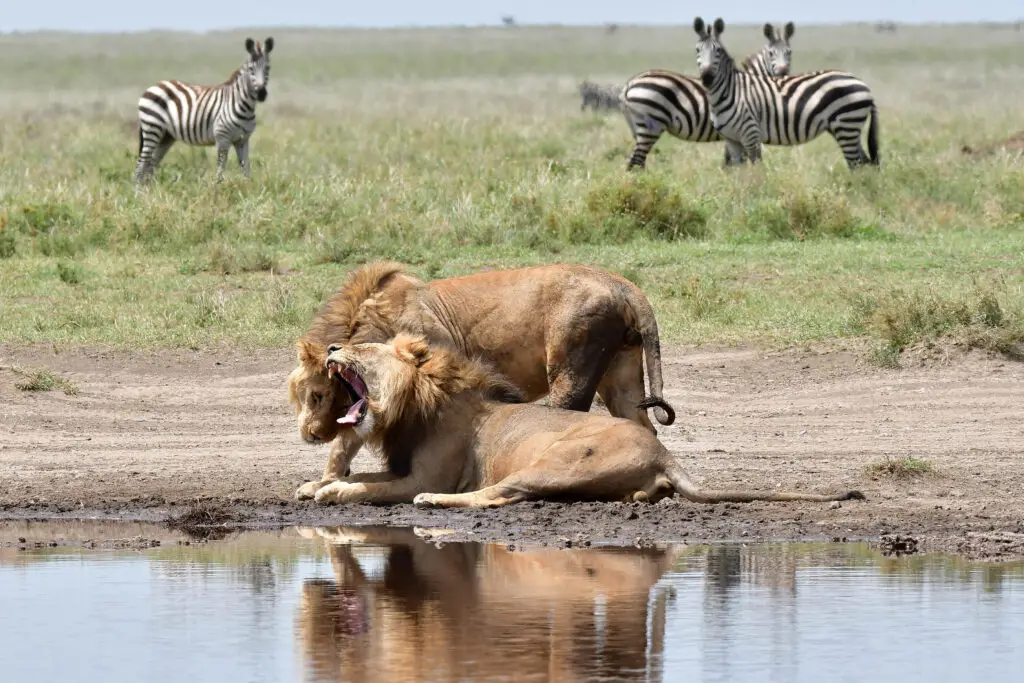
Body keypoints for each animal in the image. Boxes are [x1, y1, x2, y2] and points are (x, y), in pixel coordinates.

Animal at [135, 37, 274, 184]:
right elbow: (220, 169)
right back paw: (139, 190)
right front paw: (217, 188)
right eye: (251, 69)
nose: (262, 94)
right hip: (152, 128)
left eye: (268, 68)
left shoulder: (243, 140)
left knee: (150, 165)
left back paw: (151, 190)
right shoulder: (222, 138)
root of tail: (154, 86)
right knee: (141, 166)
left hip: (166, 136)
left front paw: (248, 187)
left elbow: (246, 167)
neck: (244, 106)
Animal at [288, 261, 676, 500]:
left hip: (573, 366)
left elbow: (347, 438)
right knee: (643, 425)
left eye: (318, 396)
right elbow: (346, 441)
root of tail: (623, 284)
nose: (308, 434)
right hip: (621, 373)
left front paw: (326, 483)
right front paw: (321, 482)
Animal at [307, 334, 864, 507]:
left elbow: (370, 487)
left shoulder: (424, 472)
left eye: (364, 347)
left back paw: (435, 506)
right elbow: (369, 474)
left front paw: (331, 490)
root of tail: (664, 451)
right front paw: (315, 484)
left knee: (500, 494)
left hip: (557, 460)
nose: (332, 347)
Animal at [619, 22, 795, 170]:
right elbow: (734, 160)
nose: (782, 74)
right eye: (771, 54)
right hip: (650, 125)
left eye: (789, 53)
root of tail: (630, 83)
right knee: (635, 162)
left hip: (640, 129)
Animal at [693, 17, 879, 169]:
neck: (730, 92)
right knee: (865, 163)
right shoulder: (732, 140)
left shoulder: (751, 136)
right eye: (697, 50)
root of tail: (863, 84)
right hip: (845, 128)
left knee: (857, 165)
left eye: (718, 50)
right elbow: (739, 172)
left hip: (847, 126)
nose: (707, 78)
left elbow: (756, 170)